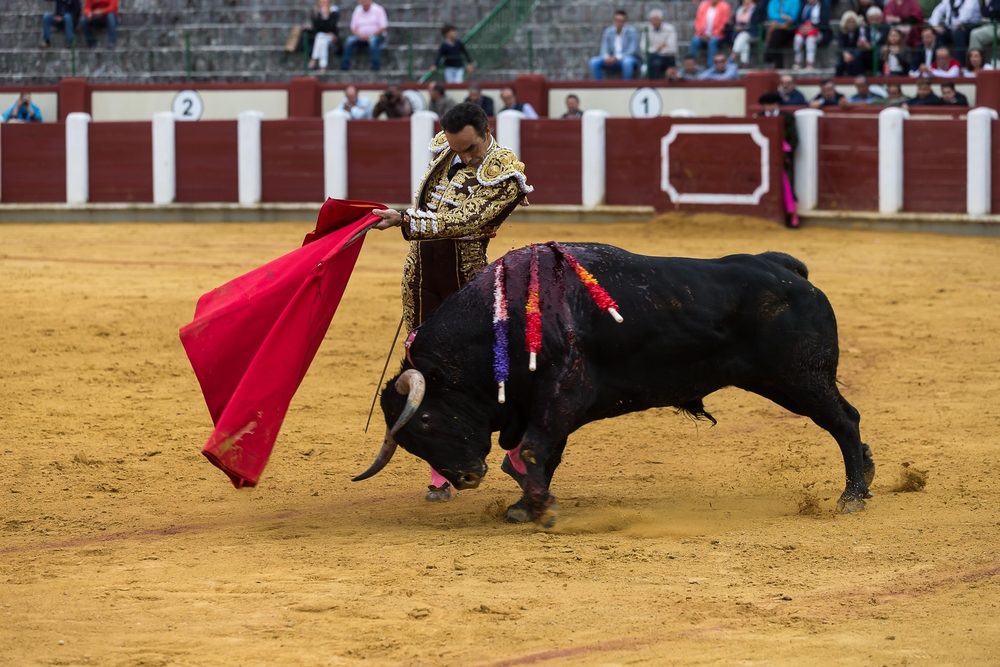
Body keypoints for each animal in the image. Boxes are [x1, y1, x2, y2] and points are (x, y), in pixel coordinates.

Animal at [356, 245, 872, 528]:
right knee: (846, 420)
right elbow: (538, 456)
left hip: (800, 378)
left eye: (426, 418)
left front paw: (541, 512)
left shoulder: (564, 392)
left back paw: (852, 495)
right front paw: (526, 507)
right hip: (785, 380)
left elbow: (532, 451)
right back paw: (861, 485)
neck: (501, 324)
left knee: (844, 421)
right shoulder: (546, 407)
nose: (465, 478)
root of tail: (786, 269)